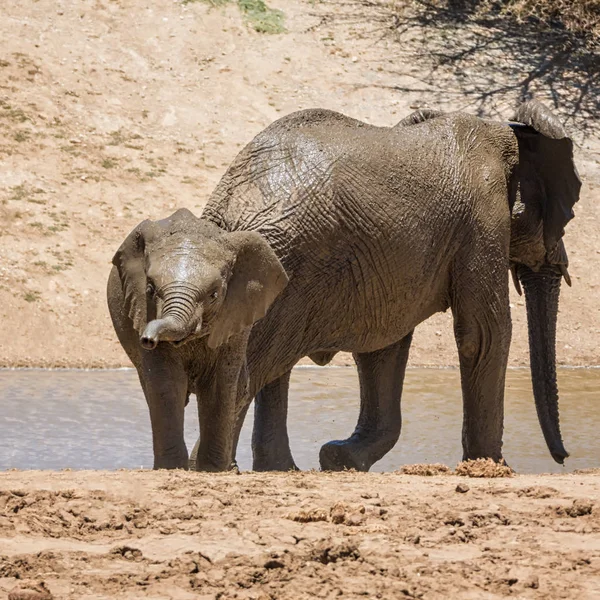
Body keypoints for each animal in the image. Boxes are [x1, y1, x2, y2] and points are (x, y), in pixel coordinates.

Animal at [108, 99, 580, 474]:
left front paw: (339, 460)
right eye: (566, 213)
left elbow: (383, 346)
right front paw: (493, 469)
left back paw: (276, 470)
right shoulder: (483, 217)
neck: (506, 133)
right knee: (257, 368)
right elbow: (483, 334)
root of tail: (225, 212)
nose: (564, 458)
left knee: (270, 366)